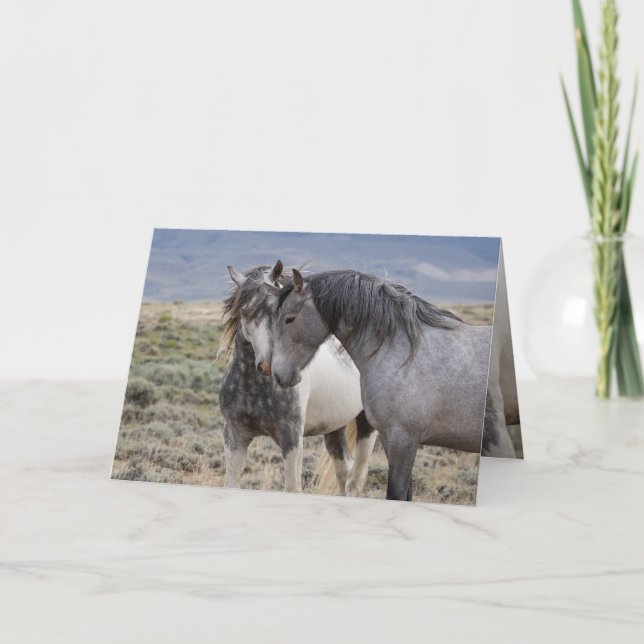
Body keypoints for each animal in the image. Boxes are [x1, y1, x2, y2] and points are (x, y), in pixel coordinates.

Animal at [218, 262, 377, 495]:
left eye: (280, 312)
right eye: (245, 311)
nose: (268, 365)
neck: (254, 388)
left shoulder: (291, 439)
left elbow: (292, 487)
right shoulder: (235, 436)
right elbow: (231, 483)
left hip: (366, 426)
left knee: (356, 480)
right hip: (334, 429)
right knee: (343, 471)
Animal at [270, 268, 516, 502]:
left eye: (289, 318)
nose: (278, 375)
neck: (404, 354)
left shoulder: (403, 440)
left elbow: (396, 493)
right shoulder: (389, 438)